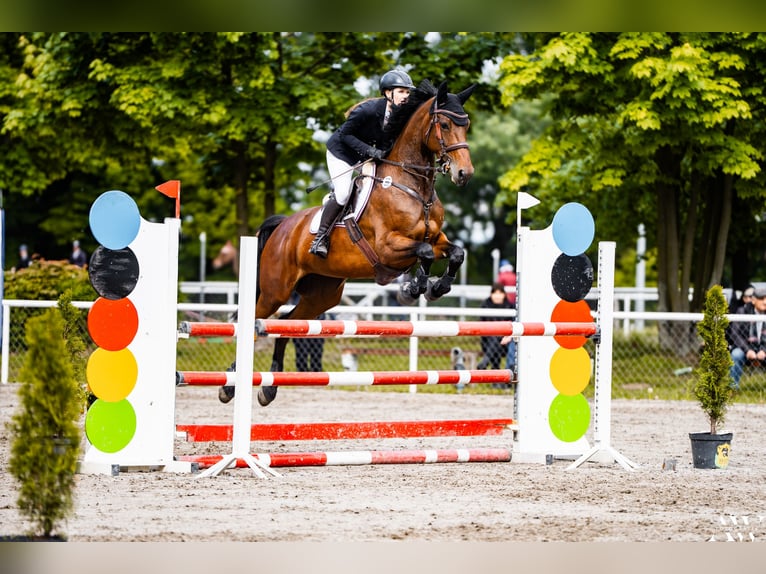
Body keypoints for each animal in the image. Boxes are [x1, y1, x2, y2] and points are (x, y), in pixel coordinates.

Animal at [219, 79, 475, 406]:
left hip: (321, 295)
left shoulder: (436, 238)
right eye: (444, 124)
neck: (414, 187)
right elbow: (425, 252)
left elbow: (455, 253)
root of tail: (283, 227)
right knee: (255, 322)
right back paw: (229, 385)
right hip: (276, 290)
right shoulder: (388, 247)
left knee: (287, 325)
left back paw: (268, 387)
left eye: (466, 126)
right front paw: (413, 289)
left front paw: (436, 287)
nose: (464, 174)